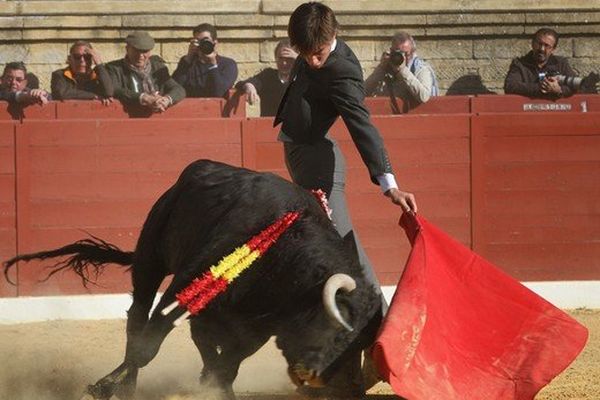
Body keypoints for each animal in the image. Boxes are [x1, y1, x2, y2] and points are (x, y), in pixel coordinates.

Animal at [2, 160, 382, 400]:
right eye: (334, 327)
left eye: (358, 344)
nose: (314, 377)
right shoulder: (184, 285)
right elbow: (149, 344)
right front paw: (104, 387)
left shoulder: (259, 327)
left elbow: (229, 363)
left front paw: (216, 387)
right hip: (150, 259)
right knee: (138, 319)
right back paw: (127, 386)